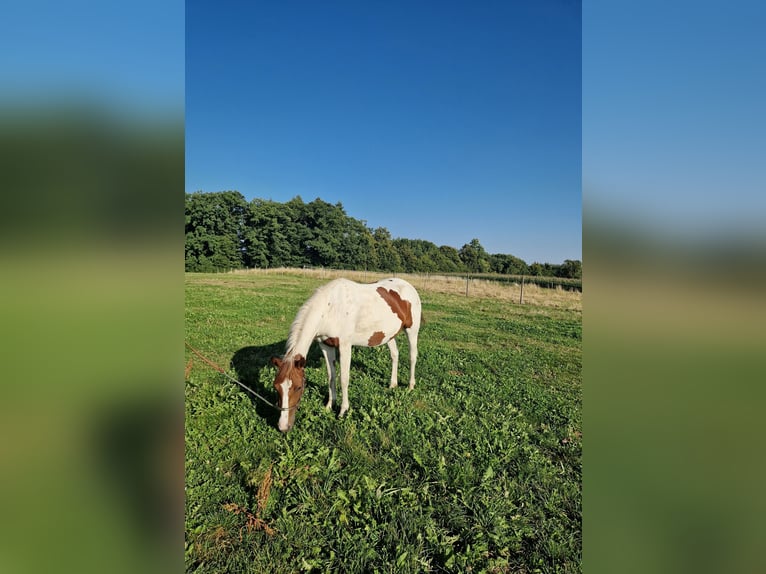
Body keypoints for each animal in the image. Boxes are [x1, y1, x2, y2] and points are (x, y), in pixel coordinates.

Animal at [271, 277, 422, 432]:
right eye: (276, 387)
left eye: (298, 387)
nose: (283, 426)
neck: (330, 309)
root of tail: (408, 285)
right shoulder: (325, 346)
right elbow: (331, 376)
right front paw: (329, 406)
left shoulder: (345, 346)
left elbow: (344, 379)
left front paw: (343, 411)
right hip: (389, 335)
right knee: (394, 355)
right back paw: (392, 384)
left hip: (412, 330)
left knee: (412, 357)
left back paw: (410, 386)